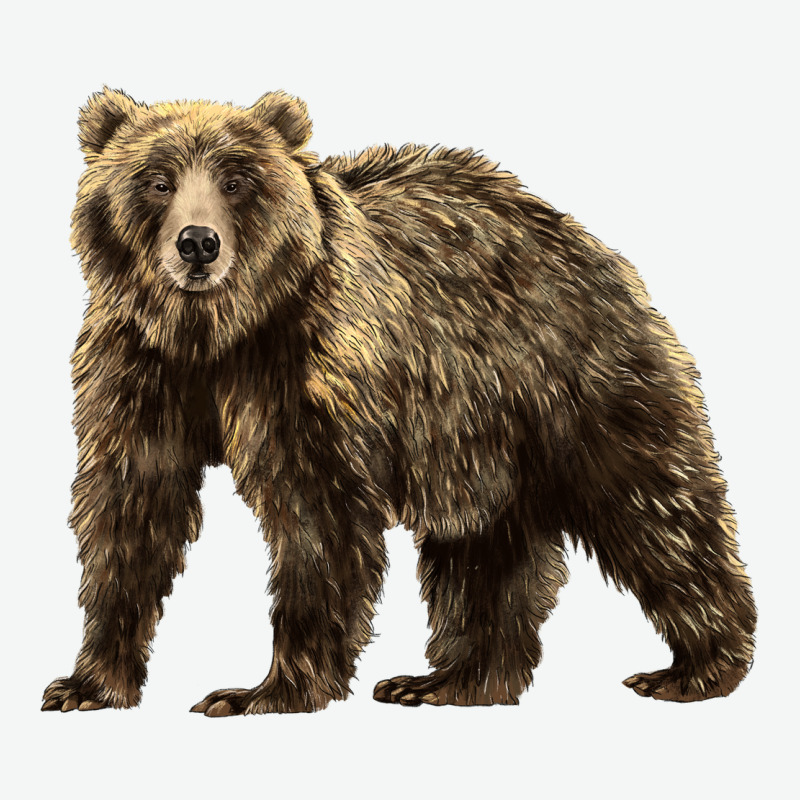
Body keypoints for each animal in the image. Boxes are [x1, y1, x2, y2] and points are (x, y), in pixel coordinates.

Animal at [43, 87, 756, 715]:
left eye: (238, 180)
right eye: (156, 180)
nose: (197, 243)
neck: (216, 334)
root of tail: (582, 237)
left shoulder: (310, 368)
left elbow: (318, 518)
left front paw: (262, 691)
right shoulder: (138, 369)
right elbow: (131, 509)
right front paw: (87, 683)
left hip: (571, 378)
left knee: (651, 504)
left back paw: (695, 667)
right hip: (475, 437)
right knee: (482, 549)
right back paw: (450, 680)